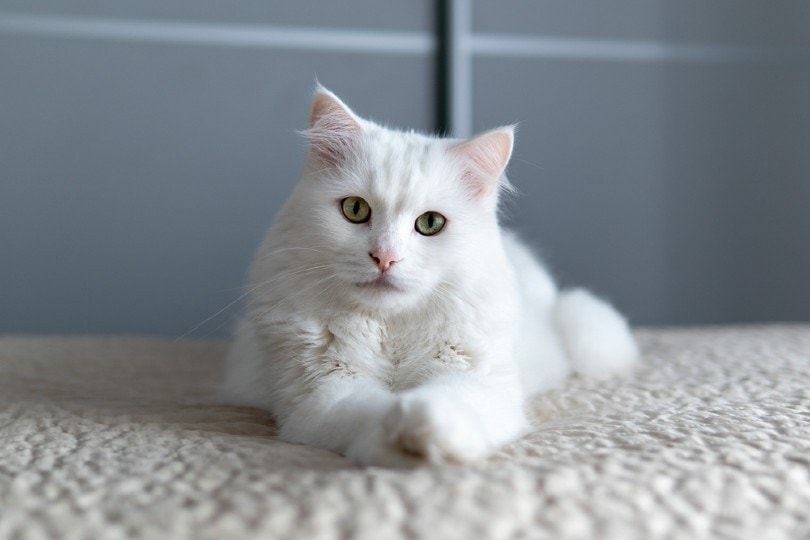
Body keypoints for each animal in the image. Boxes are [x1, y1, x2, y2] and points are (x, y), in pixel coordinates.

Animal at [221, 86, 636, 466]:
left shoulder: (477, 378)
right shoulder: (324, 391)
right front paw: (401, 439)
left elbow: (444, 402)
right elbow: (371, 412)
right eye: (355, 209)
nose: (385, 257)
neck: (390, 329)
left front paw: (428, 429)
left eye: (430, 223)